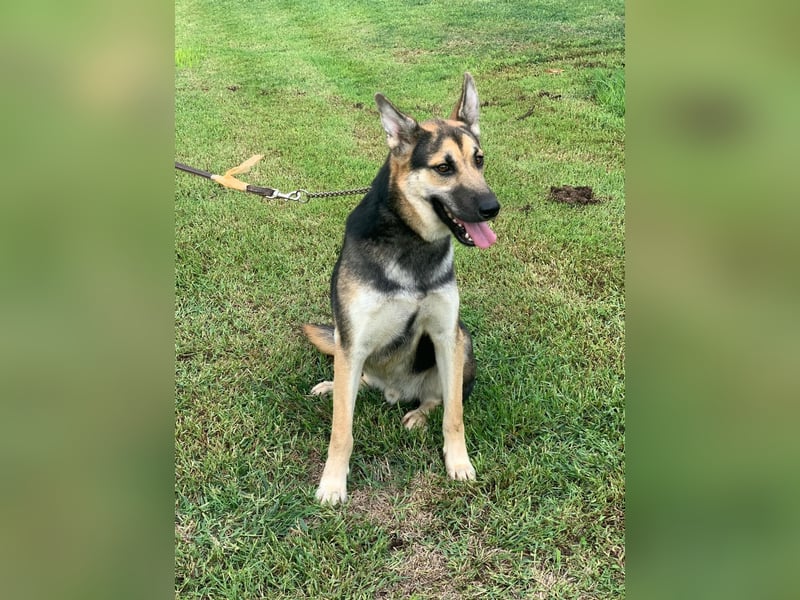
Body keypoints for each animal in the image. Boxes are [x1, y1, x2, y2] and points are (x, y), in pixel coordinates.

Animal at [303, 73, 500, 505]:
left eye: (478, 160)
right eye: (444, 167)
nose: (492, 208)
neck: (413, 243)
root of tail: (394, 391)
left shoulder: (445, 334)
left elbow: (454, 415)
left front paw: (458, 462)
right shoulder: (353, 339)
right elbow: (342, 429)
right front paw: (333, 483)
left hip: (463, 340)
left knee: (438, 398)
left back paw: (418, 414)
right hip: (350, 346)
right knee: (354, 382)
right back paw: (333, 385)